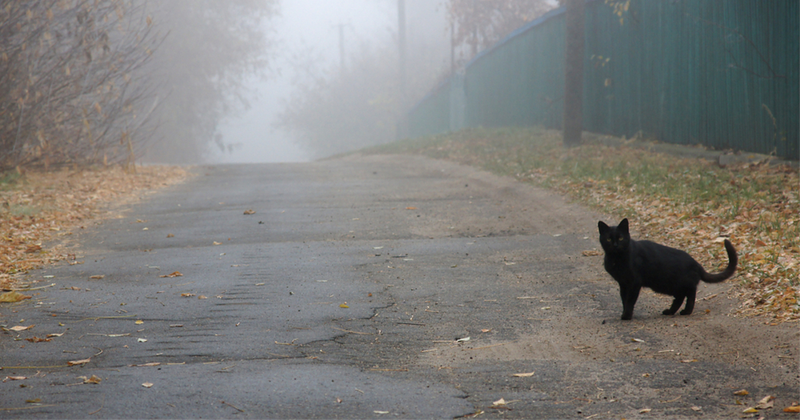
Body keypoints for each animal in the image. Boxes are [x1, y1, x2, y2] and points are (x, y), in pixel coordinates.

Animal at [600, 218, 736, 320]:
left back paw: (686, 311)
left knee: (691, 293)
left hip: (674, 284)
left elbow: (629, 300)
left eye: (621, 238)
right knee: (680, 297)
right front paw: (625, 313)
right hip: (671, 286)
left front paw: (627, 316)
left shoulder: (634, 283)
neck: (616, 259)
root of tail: (696, 263)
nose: (615, 245)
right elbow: (624, 299)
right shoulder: (623, 283)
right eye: (608, 239)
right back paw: (670, 311)